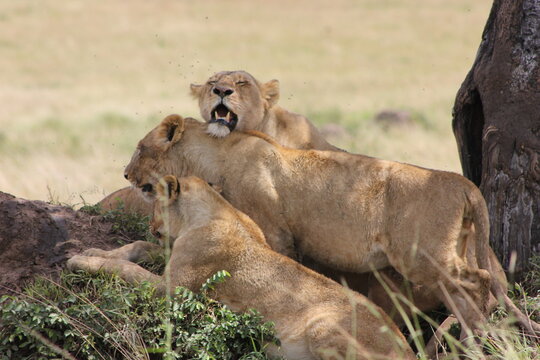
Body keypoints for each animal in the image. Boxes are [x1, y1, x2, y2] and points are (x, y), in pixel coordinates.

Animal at [67, 176, 414, 360]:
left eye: (154, 205)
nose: (152, 224)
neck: (214, 212)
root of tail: (408, 350)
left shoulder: (170, 290)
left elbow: (128, 271)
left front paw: (82, 260)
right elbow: (137, 248)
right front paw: (94, 249)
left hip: (322, 324)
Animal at [122, 114, 540, 338]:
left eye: (140, 149)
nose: (125, 174)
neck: (213, 159)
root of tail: (463, 183)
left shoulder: (275, 232)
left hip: (422, 257)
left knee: (477, 282)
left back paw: (478, 335)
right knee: (465, 291)